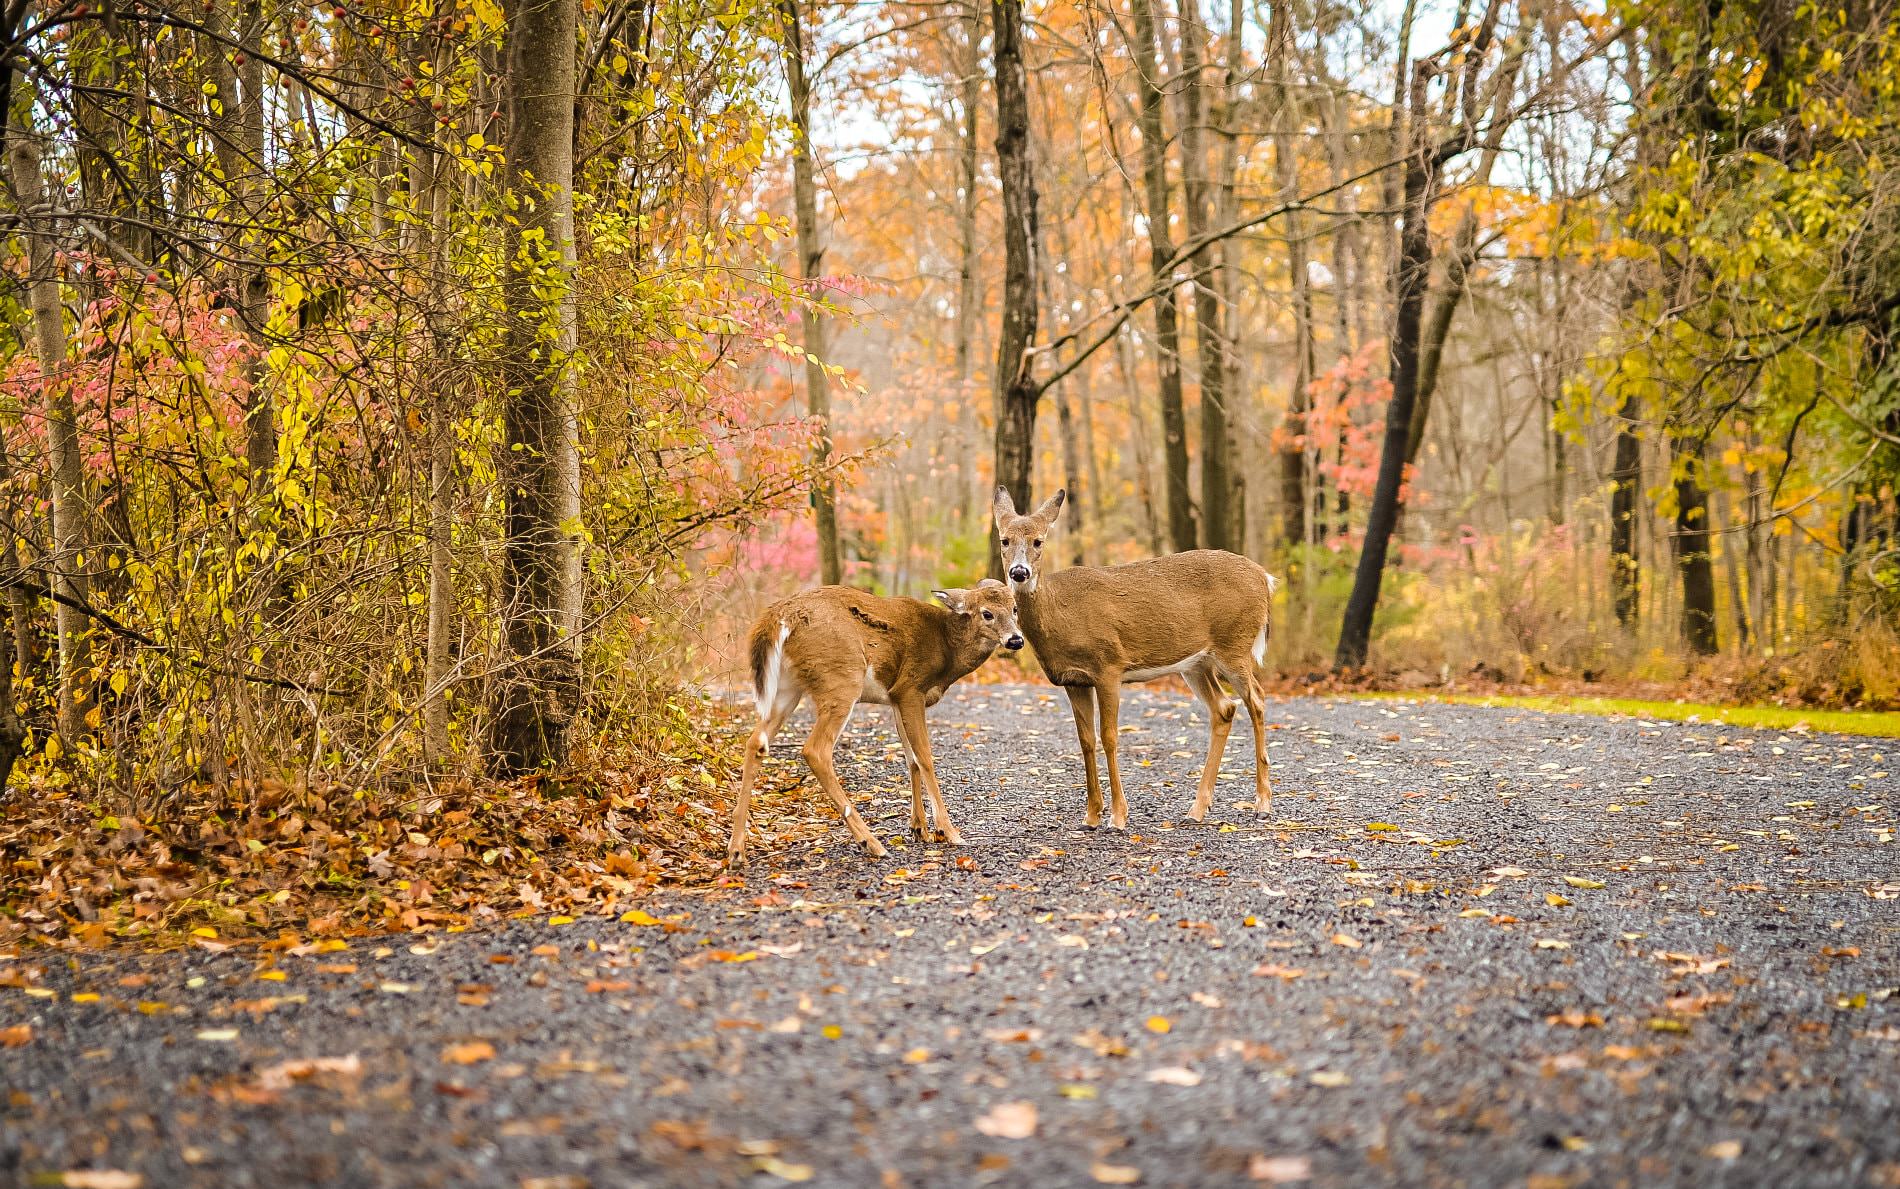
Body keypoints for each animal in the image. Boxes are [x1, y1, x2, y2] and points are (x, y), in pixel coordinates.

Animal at [725, 581, 1026, 866]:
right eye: (987, 613)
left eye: (1015, 609)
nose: (1016, 640)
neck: (946, 647)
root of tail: (779, 617)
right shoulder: (910, 688)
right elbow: (925, 757)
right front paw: (948, 832)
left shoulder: (894, 698)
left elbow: (911, 759)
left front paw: (920, 829)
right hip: (841, 678)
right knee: (816, 750)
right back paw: (871, 843)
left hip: (788, 687)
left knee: (756, 743)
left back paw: (736, 851)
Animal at [995, 482, 1276, 824]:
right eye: (1004, 540)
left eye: (1038, 540)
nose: (1019, 572)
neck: (1060, 614)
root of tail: (1265, 578)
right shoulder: (1074, 680)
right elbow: (1086, 740)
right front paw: (1091, 815)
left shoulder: (1108, 667)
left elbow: (1109, 736)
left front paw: (1118, 816)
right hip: (1197, 663)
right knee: (1224, 708)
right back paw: (1197, 809)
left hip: (1234, 644)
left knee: (1256, 699)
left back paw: (1262, 802)